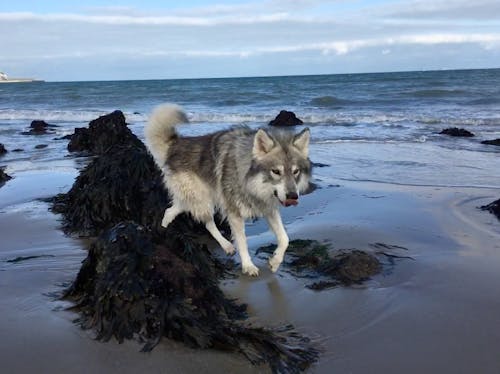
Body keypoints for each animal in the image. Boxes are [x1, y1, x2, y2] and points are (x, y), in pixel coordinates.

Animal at [143, 103, 310, 276]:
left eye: (296, 171)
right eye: (276, 171)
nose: (293, 196)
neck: (251, 182)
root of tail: (176, 144)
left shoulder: (268, 208)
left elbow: (285, 238)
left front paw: (275, 262)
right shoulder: (234, 212)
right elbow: (242, 241)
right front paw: (248, 265)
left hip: (196, 200)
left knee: (172, 210)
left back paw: (166, 229)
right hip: (202, 200)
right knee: (205, 222)